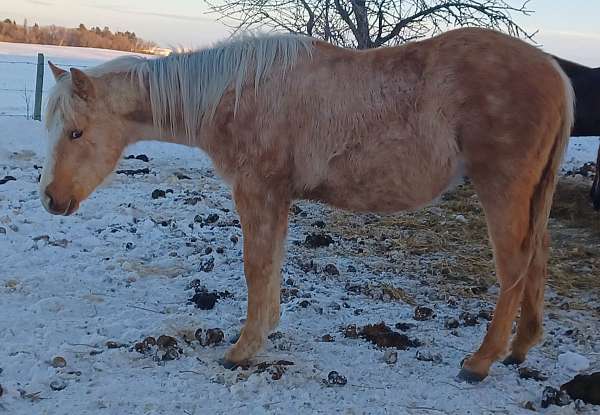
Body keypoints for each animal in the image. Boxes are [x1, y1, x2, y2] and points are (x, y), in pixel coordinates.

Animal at [39, 28, 576, 384]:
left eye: (77, 133)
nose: (51, 199)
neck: (236, 95)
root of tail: (554, 70)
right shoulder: (276, 197)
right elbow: (272, 264)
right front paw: (266, 330)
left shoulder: (257, 191)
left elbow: (256, 265)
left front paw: (242, 349)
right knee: (538, 259)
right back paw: (520, 349)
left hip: (502, 189)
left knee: (515, 268)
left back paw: (481, 362)